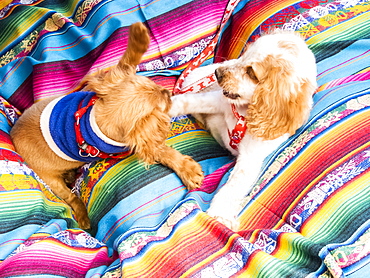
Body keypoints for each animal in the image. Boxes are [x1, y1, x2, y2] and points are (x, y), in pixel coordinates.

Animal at [10, 22, 204, 230]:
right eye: (164, 103)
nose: (168, 92)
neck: (95, 118)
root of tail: (13, 133)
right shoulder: (130, 145)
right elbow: (161, 150)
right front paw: (187, 169)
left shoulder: (112, 80)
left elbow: (128, 60)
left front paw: (139, 37)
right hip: (52, 182)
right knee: (71, 198)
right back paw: (83, 217)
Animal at [169, 30, 316, 230]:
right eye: (243, 55)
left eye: (251, 72)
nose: (217, 73)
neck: (244, 113)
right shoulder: (216, 100)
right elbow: (185, 101)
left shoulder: (250, 157)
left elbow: (234, 184)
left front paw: (220, 215)